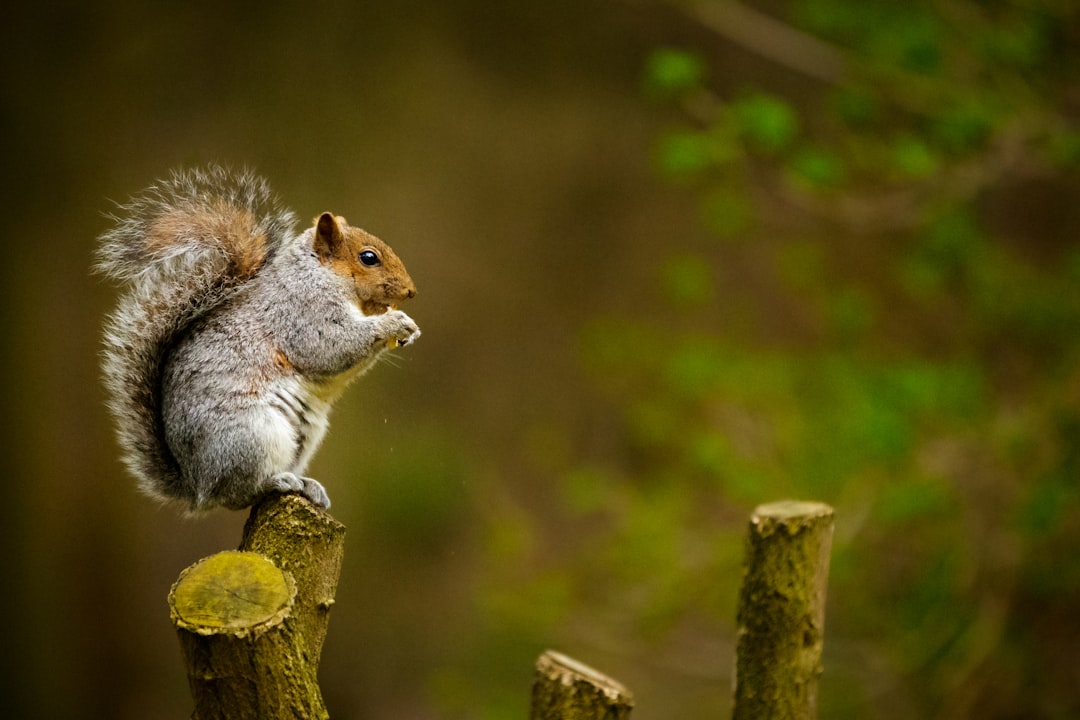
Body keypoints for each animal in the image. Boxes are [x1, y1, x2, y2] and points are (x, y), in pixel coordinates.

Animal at [95, 165, 419, 509]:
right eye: (368, 257)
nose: (410, 291)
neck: (318, 274)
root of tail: (196, 485)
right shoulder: (302, 314)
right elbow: (332, 347)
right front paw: (393, 322)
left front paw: (408, 329)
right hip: (253, 436)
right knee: (237, 494)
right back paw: (277, 481)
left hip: (303, 437)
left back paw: (308, 485)